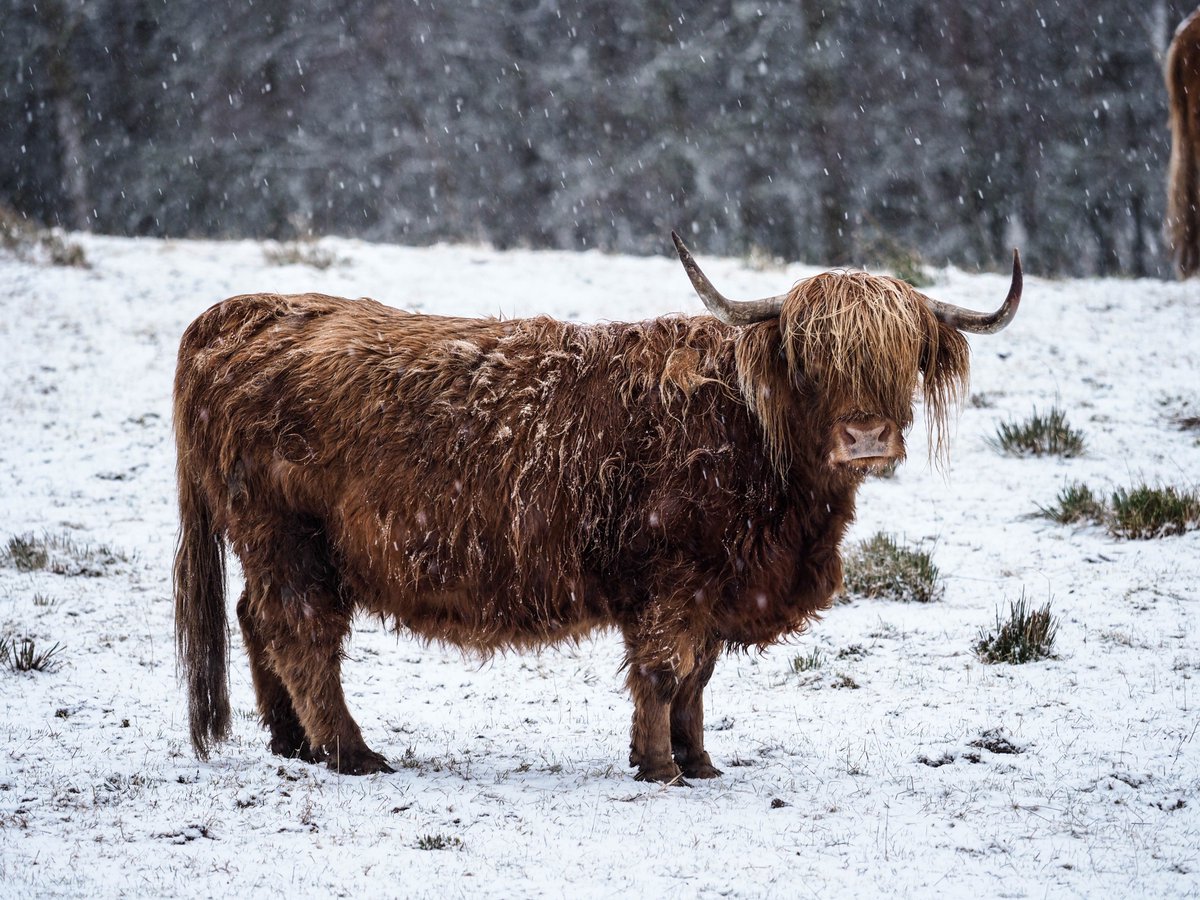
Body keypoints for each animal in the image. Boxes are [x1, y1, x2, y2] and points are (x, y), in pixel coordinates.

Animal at [173, 232, 1021, 783]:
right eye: (811, 359)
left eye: (903, 358)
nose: (865, 436)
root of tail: (246, 311)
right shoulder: (672, 577)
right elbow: (664, 672)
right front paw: (659, 767)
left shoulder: (716, 589)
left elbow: (698, 680)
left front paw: (698, 761)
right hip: (289, 537)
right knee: (301, 633)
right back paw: (350, 753)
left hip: (281, 545)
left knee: (256, 619)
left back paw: (293, 742)